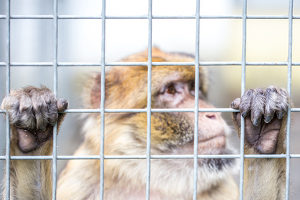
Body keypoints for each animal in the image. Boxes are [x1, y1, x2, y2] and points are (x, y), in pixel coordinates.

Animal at [1, 47, 288, 199]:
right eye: (171, 91)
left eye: (194, 90)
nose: (211, 113)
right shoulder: (80, 180)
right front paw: (34, 136)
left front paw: (262, 134)